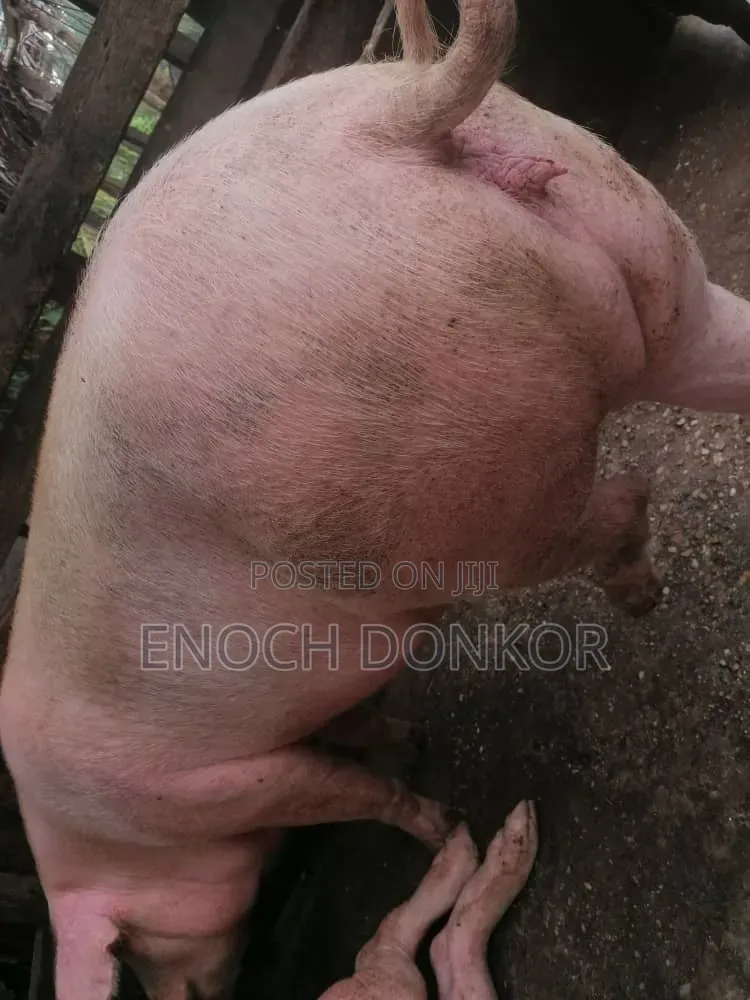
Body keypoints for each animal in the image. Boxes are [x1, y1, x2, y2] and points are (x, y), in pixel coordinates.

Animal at [2, 0, 750, 995]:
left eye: (143, 952)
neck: (119, 838)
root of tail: (385, 124)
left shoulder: (216, 782)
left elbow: (344, 789)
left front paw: (435, 814)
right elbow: (360, 725)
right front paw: (412, 735)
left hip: (453, 476)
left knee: (615, 500)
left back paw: (638, 596)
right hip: (635, 242)